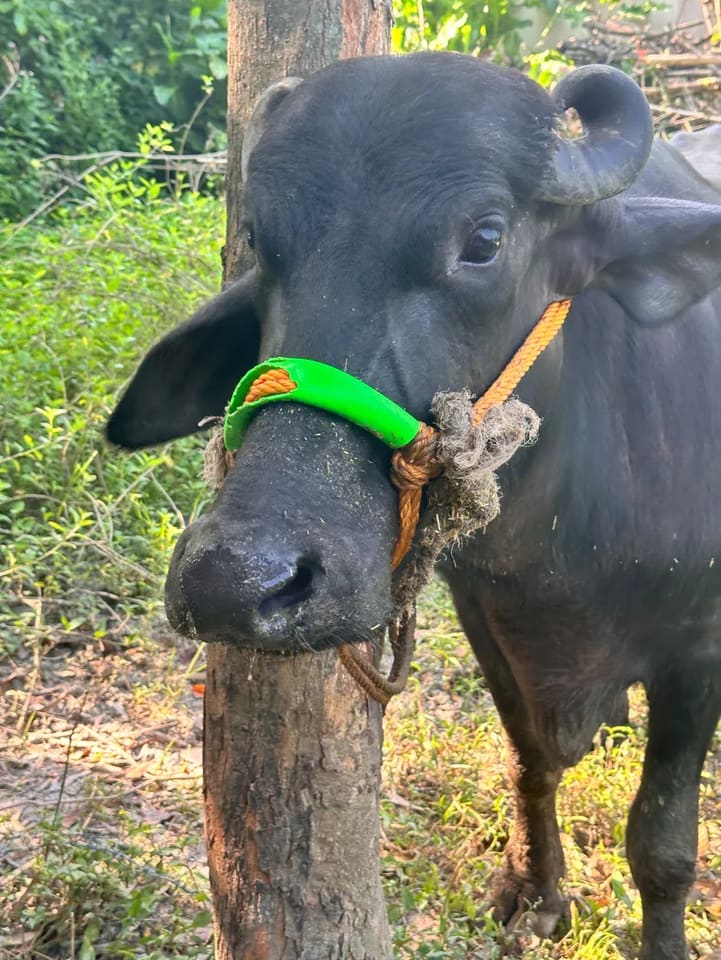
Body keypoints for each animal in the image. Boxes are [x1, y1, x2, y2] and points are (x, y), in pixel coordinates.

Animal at [108, 53, 721, 959]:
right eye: (261, 239)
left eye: (484, 240)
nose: (234, 580)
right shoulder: (489, 625)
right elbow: (530, 759)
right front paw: (534, 888)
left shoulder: (697, 653)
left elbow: (662, 844)